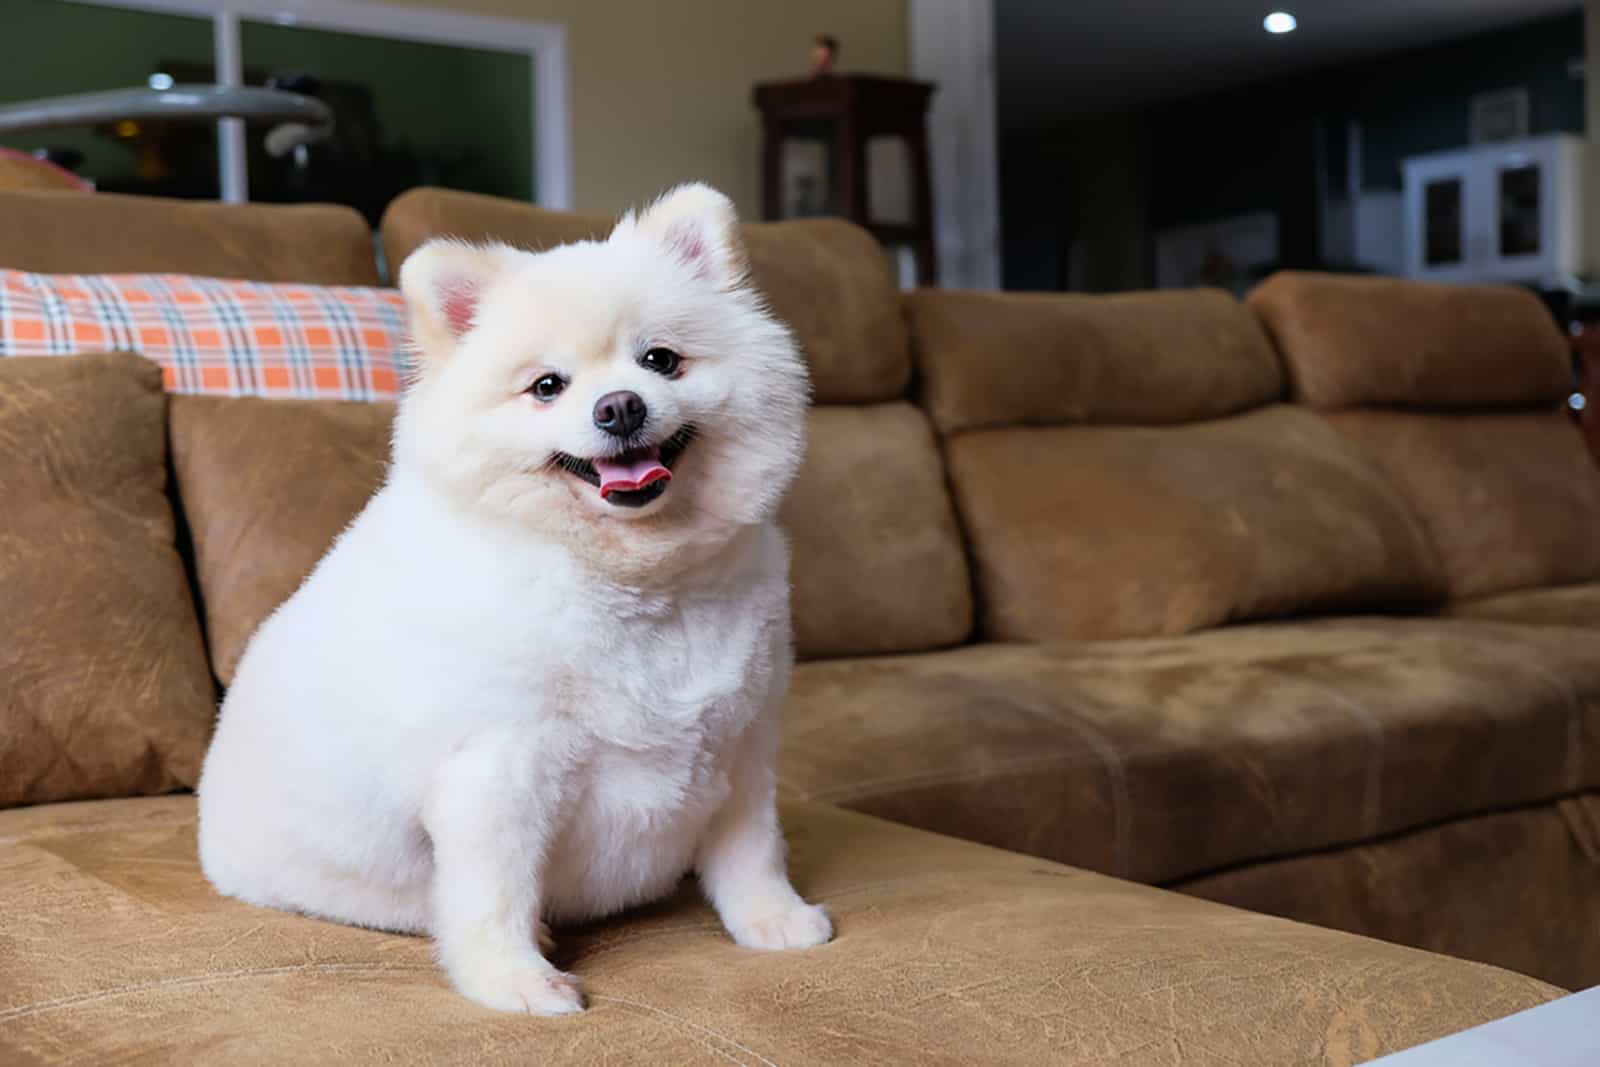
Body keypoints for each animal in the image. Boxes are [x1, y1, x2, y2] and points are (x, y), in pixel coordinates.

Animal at [195, 185, 832, 1017]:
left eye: (660, 359)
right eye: (547, 386)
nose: (620, 406)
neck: (637, 582)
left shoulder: (742, 739)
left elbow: (753, 847)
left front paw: (773, 919)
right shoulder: (499, 766)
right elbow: (495, 889)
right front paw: (515, 979)